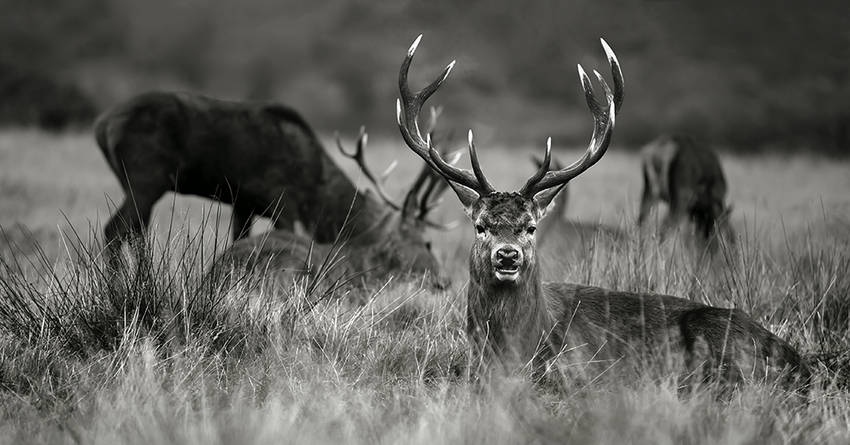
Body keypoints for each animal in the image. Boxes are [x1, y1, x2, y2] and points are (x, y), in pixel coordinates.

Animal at [394, 35, 804, 392]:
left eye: (530, 227)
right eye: (481, 226)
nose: (508, 255)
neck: (514, 348)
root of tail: (798, 359)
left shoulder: (584, 369)